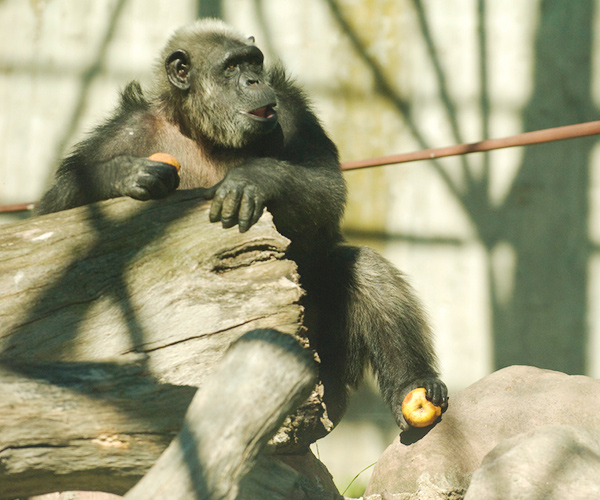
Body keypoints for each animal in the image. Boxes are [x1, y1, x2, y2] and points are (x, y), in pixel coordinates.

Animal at [32, 18, 446, 430]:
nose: (252, 81)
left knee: (361, 269)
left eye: (254, 62)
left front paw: (253, 179)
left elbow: (326, 183)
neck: (203, 131)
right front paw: (122, 174)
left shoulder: (291, 109)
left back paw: (414, 383)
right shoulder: (124, 133)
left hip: (330, 368)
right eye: (231, 67)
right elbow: (51, 215)